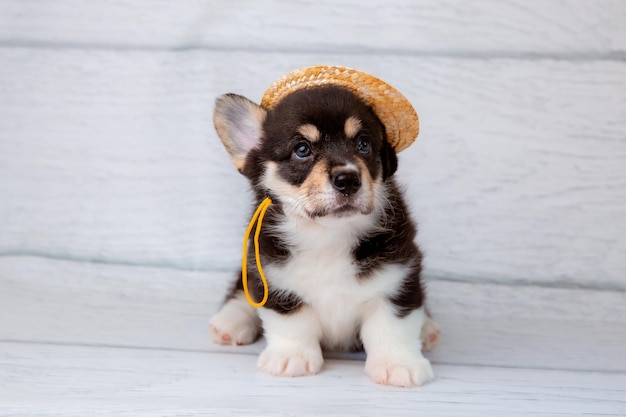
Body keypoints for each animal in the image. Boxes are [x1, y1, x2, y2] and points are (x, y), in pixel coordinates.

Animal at [207, 66, 436, 386]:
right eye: (302, 149)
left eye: (363, 144)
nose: (348, 179)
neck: (327, 235)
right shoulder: (275, 279)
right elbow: (291, 323)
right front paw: (292, 357)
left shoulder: (399, 277)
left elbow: (392, 327)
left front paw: (398, 364)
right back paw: (231, 320)